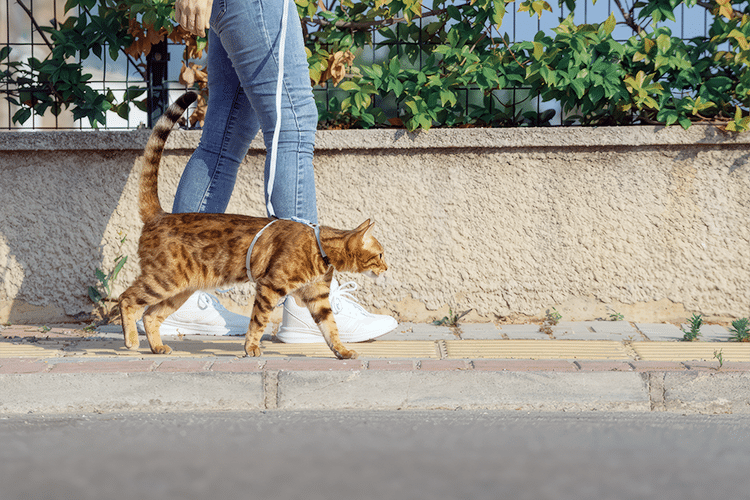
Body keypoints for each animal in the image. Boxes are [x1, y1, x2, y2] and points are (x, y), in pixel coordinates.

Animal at [120, 92, 390, 360]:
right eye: (380, 254)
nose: (387, 268)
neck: (320, 247)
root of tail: (160, 215)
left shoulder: (318, 297)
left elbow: (331, 328)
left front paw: (342, 350)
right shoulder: (270, 286)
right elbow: (259, 321)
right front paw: (251, 347)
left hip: (181, 288)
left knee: (150, 314)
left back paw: (156, 346)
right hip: (164, 279)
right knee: (126, 299)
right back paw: (131, 340)